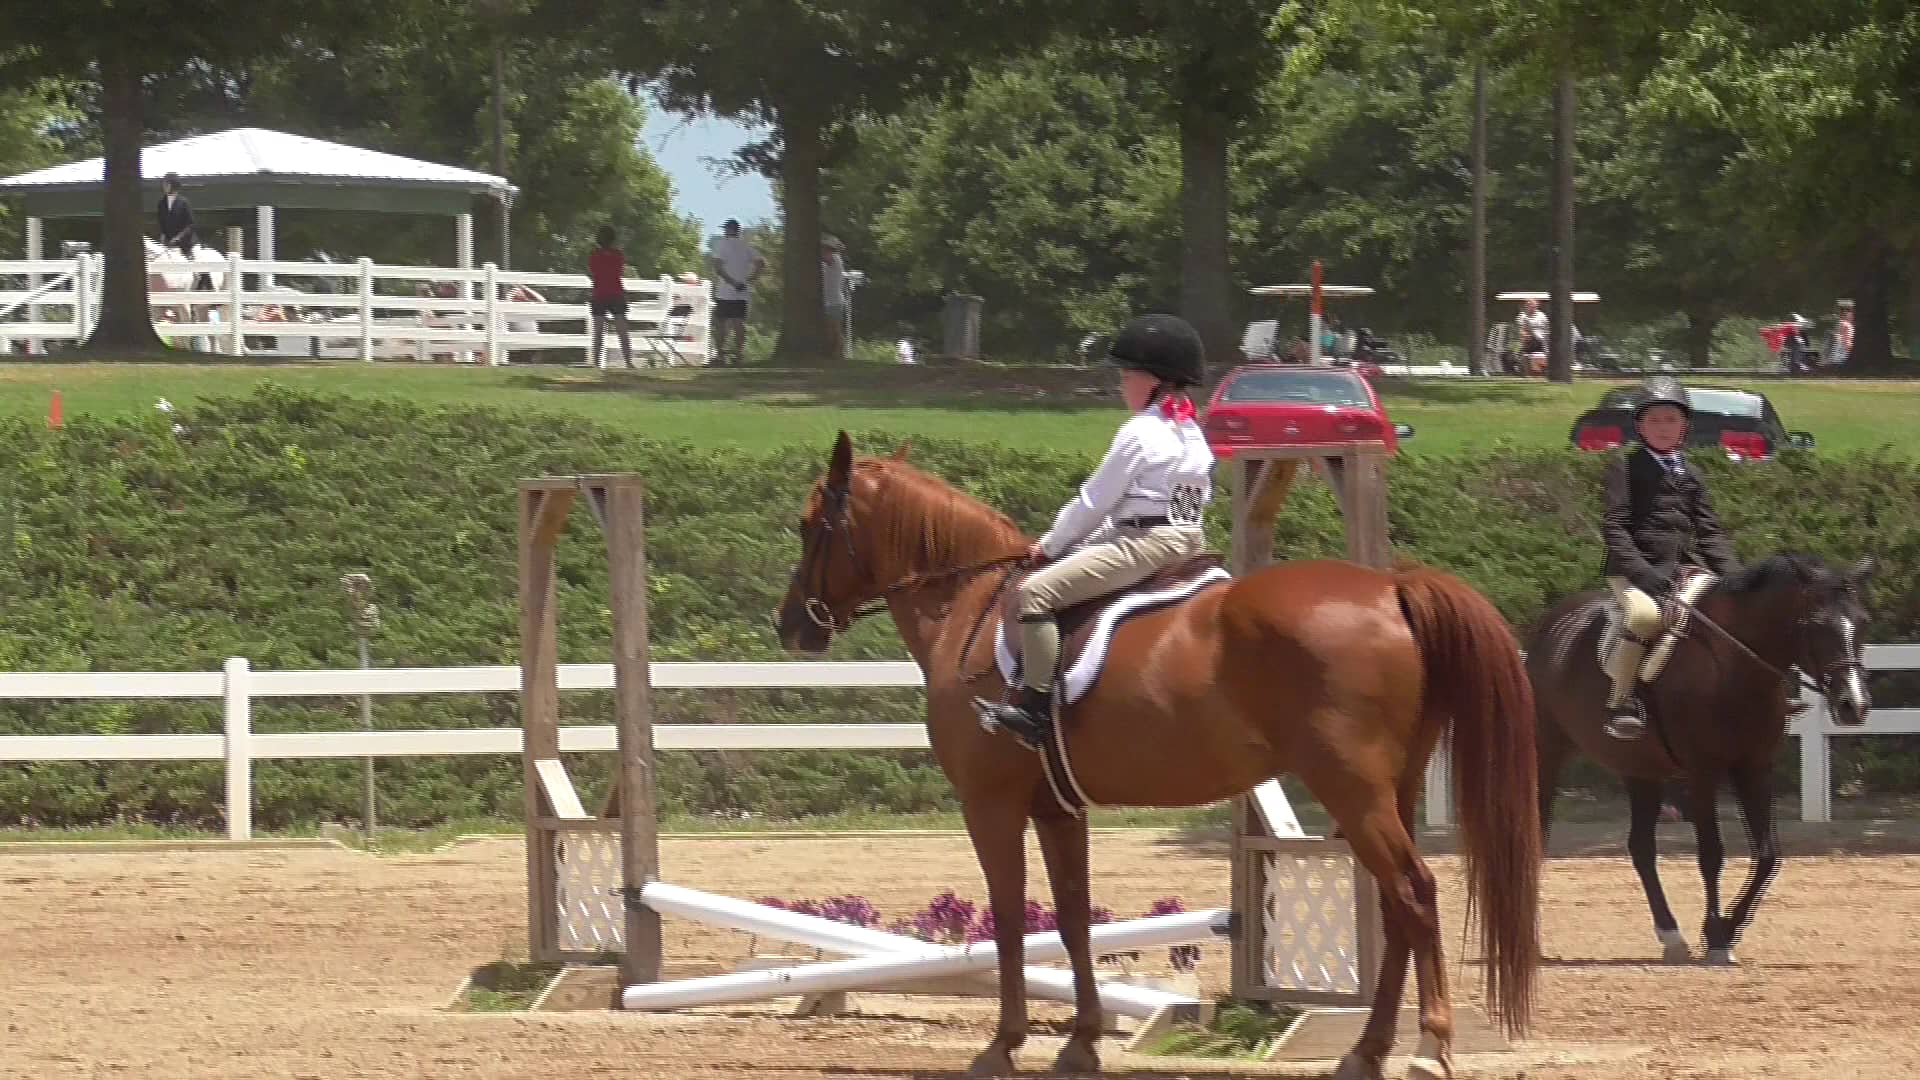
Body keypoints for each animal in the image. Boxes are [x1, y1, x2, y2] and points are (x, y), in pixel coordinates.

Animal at [771, 432, 1536, 1068]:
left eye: (811, 525)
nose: (790, 627)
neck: (971, 604)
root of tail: (1393, 586)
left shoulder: (991, 804)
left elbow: (1012, 920)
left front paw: (1003, 1046)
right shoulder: (1057, 809)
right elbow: (1073, 917)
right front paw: (1080, 1043)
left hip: (1353, 788)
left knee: (1413, 894)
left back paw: (1427, 1048)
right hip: (1391, 789)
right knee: (1396, 906)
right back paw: (1368, 1051)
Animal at [1520, 553, 1866, 957]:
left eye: (1862, 622)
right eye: (1815, 625)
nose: (1854, 706)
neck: (1730, 666)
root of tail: (1548, 627)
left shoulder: (1754, 768)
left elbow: (1768, 855)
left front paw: (1728, 930)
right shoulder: (1703, 772)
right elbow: (1711, 854)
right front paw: (1715, 934)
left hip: (1641, 769)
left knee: (1641, 847)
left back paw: (1671, 935)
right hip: (1548, 754)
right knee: (1538, 835)